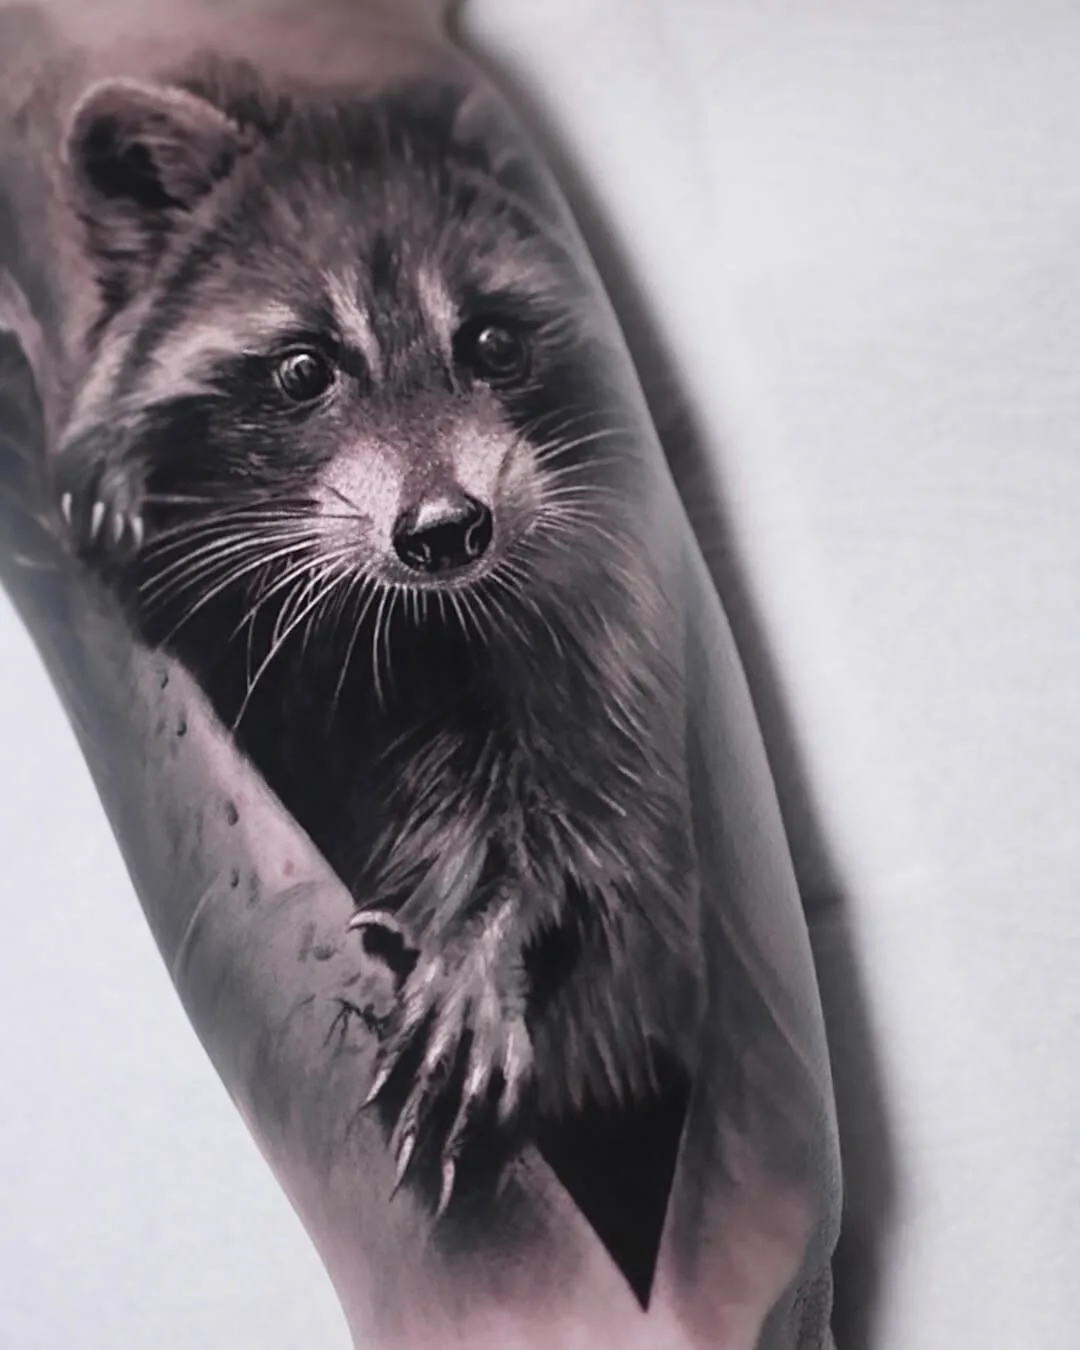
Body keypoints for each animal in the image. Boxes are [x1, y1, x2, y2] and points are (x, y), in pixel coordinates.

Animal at [35, 53, 702, 1222]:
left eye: (493, 342)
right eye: (306, 370)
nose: (445, 531)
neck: (394, 619)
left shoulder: (591, 608)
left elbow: (597, 819)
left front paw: (495, 930)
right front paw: (113, 474)